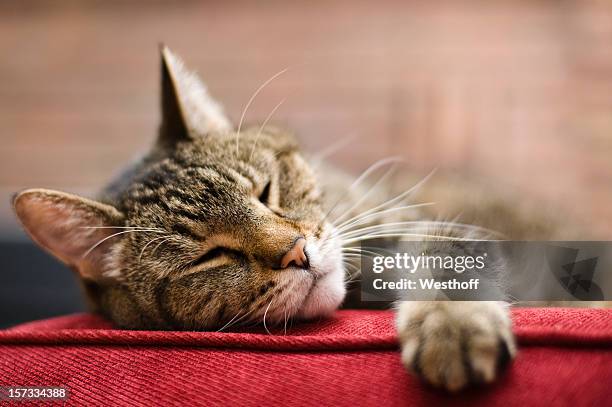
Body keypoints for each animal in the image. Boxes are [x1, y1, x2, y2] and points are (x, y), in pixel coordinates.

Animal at [11, 47, 512, 392]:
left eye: (266, 191)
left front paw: (453, 323)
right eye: (209, 257)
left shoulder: (409, 221)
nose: (298, 253)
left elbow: (443, 255)